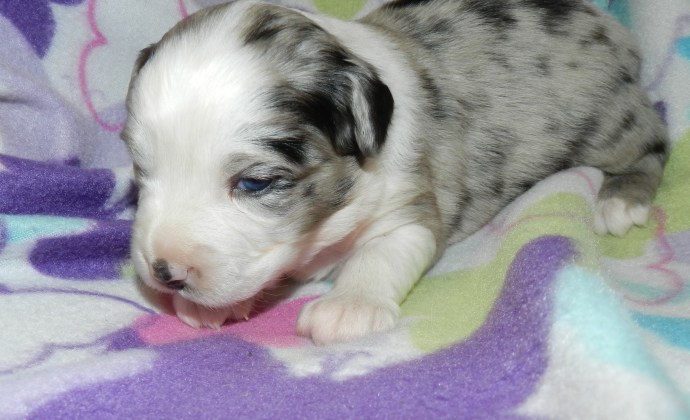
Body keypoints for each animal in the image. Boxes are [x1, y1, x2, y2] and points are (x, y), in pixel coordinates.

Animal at [121, 0, 669, 344]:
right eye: (141, 172)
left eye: (255, 182)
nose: (164, 273)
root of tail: (611, 26)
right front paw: (209, 306)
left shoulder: (408, 210)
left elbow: (380, 254)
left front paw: (349, 307)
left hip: (607, 120)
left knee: (653, 140)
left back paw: (621, 199)